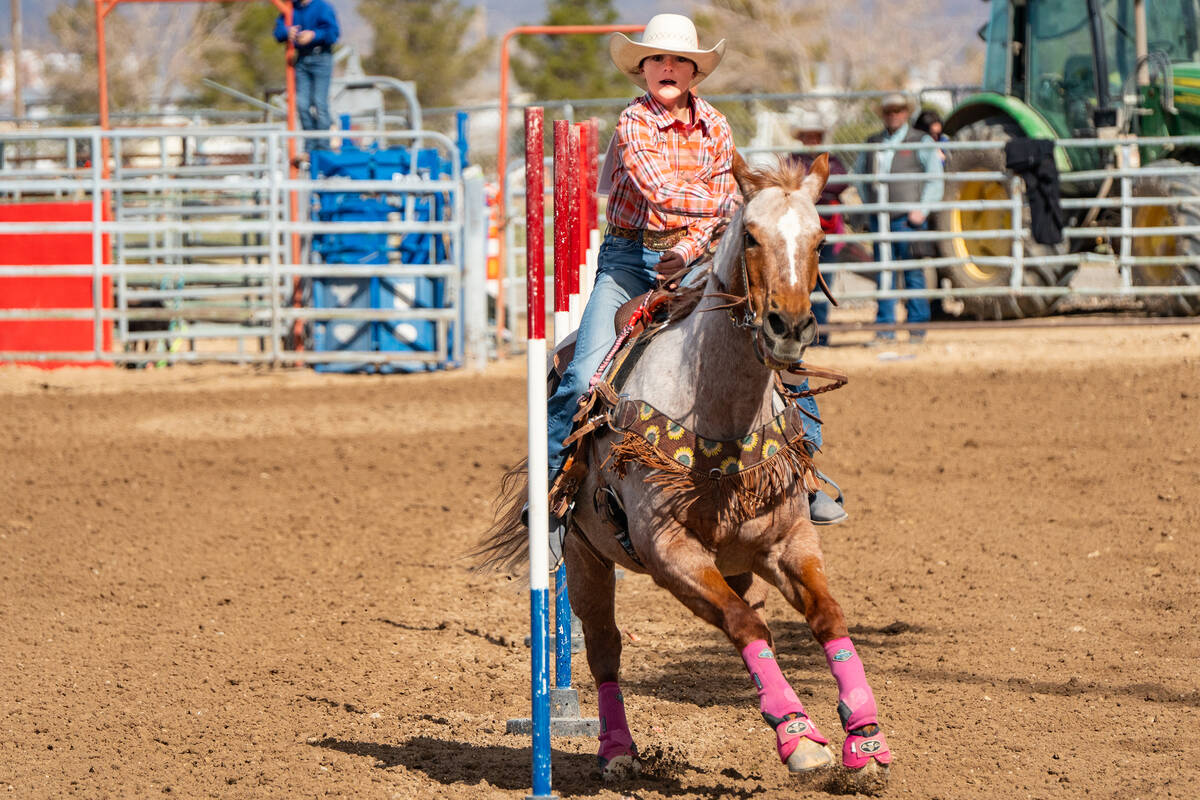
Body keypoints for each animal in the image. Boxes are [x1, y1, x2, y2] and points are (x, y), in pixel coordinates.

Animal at [477, 153, 892, 791]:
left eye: (820, 240)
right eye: (752, 236)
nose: (789, 326)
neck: (720, 414)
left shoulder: (789, 541)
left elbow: (827, 617)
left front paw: (864, 738)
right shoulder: (670, 551)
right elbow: (745, 626)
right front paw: (800, 739)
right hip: (586, 560)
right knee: (605, 648)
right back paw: (616, 751)